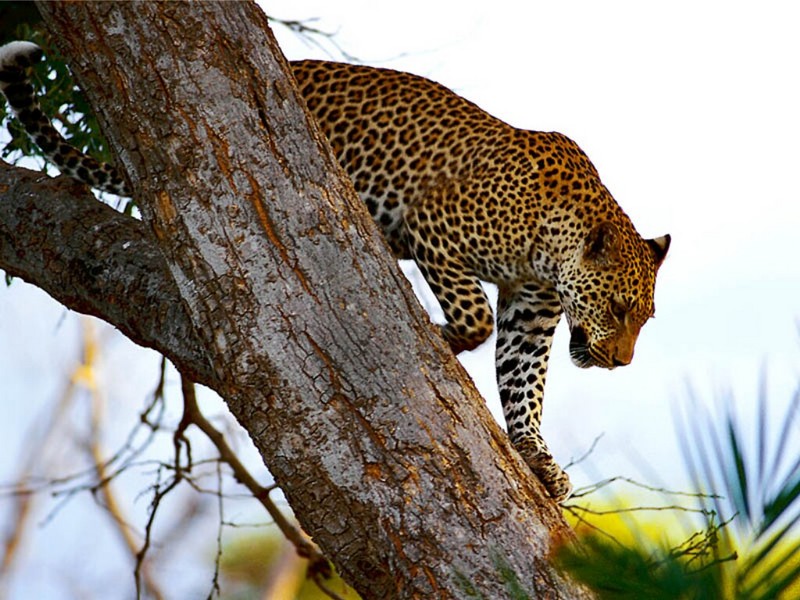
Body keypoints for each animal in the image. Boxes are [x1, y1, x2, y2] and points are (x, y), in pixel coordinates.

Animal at [1, 39, 668, 504]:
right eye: (617, 310)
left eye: (643, 318)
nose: (621, 362)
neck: (548, 250)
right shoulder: (433, 224)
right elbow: (475, 318)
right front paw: (445, 336)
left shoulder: (530, 314)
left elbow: (523, 386)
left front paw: (539, 459)